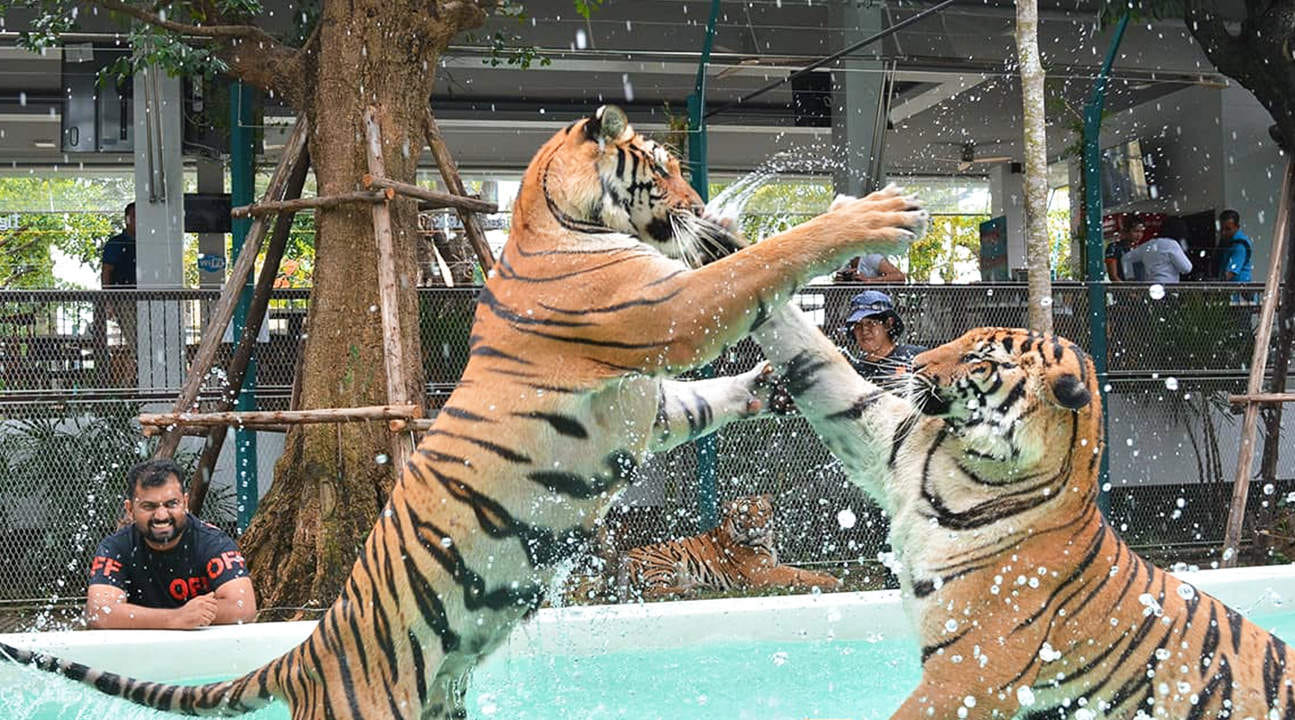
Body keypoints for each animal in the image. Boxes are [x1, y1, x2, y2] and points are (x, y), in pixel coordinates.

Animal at [615, 494, 841, 599]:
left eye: (762, 511)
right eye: (744, 514)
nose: (758, 527)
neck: (765, 543)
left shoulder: (774, 565)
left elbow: (802, 570)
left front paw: (827, 575)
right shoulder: (761, 573)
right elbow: (797, 575)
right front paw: (831, 582)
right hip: (662, 561)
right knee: (651, 591)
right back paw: (691, 590)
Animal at [749, 293, 1295, 718]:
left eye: (979, 359)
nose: (914, 366)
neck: (959, 469)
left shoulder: (967, 678)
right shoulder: (883, 437)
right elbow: (813, 359)